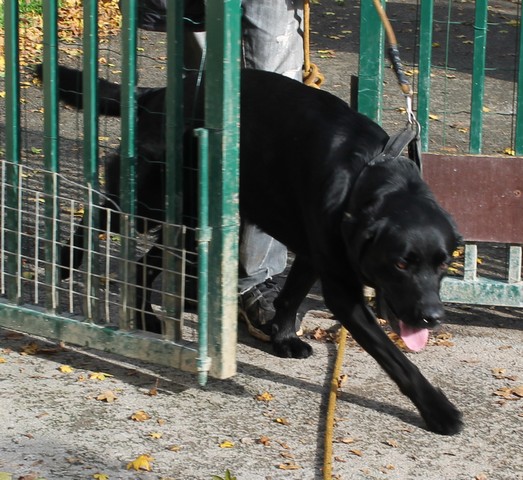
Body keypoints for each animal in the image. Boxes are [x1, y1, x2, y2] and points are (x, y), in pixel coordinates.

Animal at [36, 63, 462, 436]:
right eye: (401, 263)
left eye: (443, 264)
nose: (432, 317)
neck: (368, 174)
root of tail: (154, 93)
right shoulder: (342, 291)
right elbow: (396, 359)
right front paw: (438, 411)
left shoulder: (313, 254)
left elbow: (290, 297)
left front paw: (282, 339)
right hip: (149, 203)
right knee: (97, 214)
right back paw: (65, 263)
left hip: (194, 221)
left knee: (144, 264)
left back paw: (146, 318)